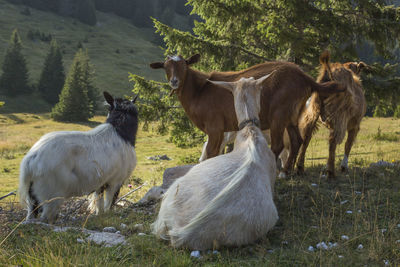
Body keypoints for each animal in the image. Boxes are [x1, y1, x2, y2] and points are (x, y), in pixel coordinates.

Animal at [18, 92, 139, 224]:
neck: (121, 132)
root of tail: (30, 161)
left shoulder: (100, 183)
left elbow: (99, 204)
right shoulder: (116, 181)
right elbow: (109, 205)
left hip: (33, 196)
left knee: (31, 216)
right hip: (51, 195)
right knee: (45, 218)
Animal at [150, 54, 344, 176]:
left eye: (185, 65)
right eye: (166, 67)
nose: (174, 81)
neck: (200, 90)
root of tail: (304, 77)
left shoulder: (215, 127)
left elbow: (211, 153)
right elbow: (215, 152)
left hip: (279, 115)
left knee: (278, 145)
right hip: (292, 115)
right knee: (297, 140)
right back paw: (286, 172)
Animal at [296, 51, 368, 179]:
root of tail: (329, 72)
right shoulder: (355, 124)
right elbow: (348, 144)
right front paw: (343, 167)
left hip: (313, 111)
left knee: (306, 136)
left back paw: (300, 168)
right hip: (340, 116)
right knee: (333, 141)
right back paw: (331, 172)